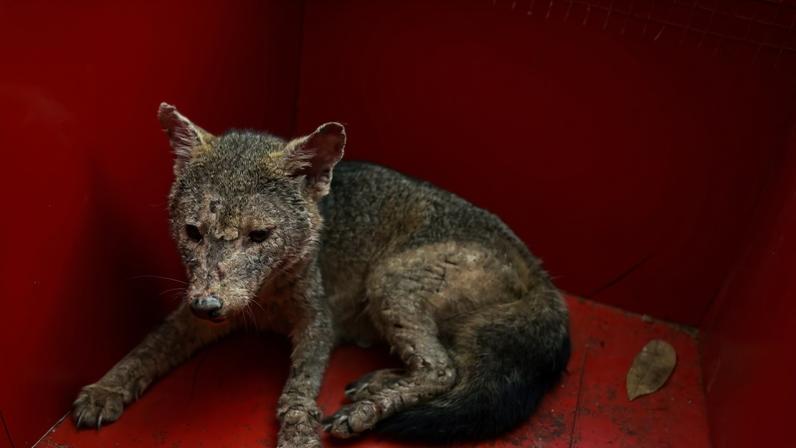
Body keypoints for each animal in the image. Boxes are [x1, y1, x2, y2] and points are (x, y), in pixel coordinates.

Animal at [72, 103, 571, 447]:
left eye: (259, 236)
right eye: (193, 233)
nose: (209, 306)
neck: (267, 301)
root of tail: (540, 271)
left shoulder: (318, 322)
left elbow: (299, 387)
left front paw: (296, 430)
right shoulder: (197, 307)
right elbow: (146, 349)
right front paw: (106, 388)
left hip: (387, 279)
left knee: (443, 368)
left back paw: (368, 409)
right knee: (443, 363)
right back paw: (378, 382)